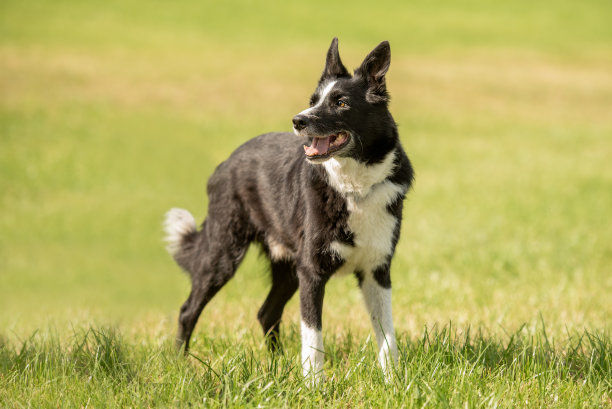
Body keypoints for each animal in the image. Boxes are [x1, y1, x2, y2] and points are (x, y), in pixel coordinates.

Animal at [163, 38, 414, 380]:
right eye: (313, 101)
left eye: (341, 103)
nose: (298, 121)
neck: (355, 188)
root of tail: (228, 161)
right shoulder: (311, 272)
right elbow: (313, 339)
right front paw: (314, 385)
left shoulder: (377, 271)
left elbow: (387, 336)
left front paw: (393, 382)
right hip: (223, 254)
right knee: (189, 310)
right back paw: (179, 365)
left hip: (287, 267)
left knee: (266, 312)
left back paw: (275, 366)